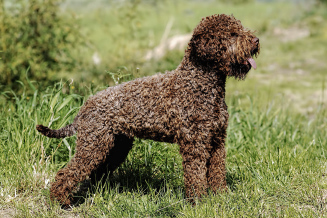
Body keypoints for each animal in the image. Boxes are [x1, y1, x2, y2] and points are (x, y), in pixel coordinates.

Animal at [36, 14, 262, 207]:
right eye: (232, 34)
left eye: (240, 29)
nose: (256, 40)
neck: (199, 84)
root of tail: (84, 106)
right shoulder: (195, 144)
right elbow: (196, 176)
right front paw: (198, 202)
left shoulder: (217, 140)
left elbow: (217, 171)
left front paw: (221, 196)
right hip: (93, 146)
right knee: (68, 173)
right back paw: (60, 201)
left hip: (115, 146)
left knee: (94, 174)